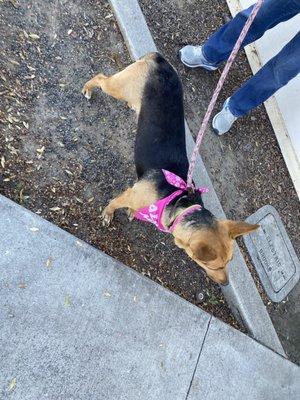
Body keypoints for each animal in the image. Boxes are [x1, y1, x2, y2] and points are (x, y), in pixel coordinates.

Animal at [82, 52, 258, 284]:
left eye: (229, 262)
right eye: (212, 265)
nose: (225, 282)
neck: (179, 205)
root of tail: (160, 59)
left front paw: (132, 212)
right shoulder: (129, 194)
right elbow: (113, 204)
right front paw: (108, 214)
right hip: (117, 87)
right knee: (101, 78)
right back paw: (87, 89)